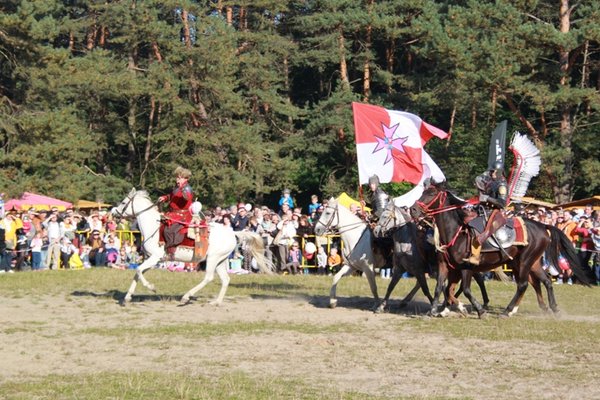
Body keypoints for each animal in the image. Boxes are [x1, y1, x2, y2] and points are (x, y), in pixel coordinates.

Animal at [111, 189, 274, 304]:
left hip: (213, 259)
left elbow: (138, 270)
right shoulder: (153, 259)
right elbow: (137, 273)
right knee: (225, 279)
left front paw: (151, 287)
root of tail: (232, 232)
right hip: (220, 261)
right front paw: (127, 297)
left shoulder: (155, 257)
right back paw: (216, 302)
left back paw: (186, 296)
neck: (154, 227)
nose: (113, 212)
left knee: (208, 277)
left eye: (123, 202)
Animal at [408, 182, 596, 318]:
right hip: (530, 262)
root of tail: (543, 226)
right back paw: (551, 308)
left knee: (523, 284)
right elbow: (442, 288)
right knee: (544, 281)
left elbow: (465, 290)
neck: (455, 231)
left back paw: (508, 311)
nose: (413, 209)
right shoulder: (446, 266)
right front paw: (437, 309)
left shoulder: (466, 268)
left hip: (524, 262)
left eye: (431, 194)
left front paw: (479, 310)